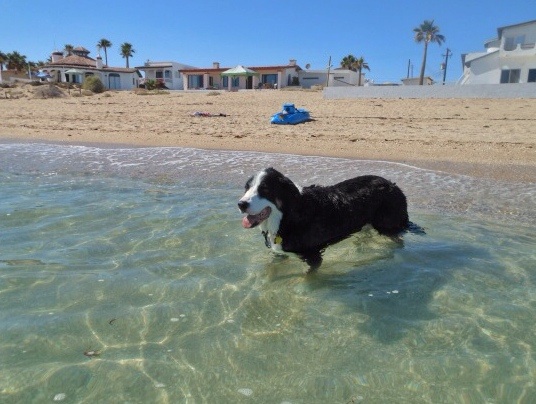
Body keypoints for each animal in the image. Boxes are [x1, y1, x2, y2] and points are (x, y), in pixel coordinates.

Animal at [239, 167, 410, 272]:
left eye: (264, 189)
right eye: (246, 188)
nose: (241, 204)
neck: (288, 216)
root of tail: (395, 187)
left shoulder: (313, 256)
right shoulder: (279, 253)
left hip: (387, 225)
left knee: (398, 241)